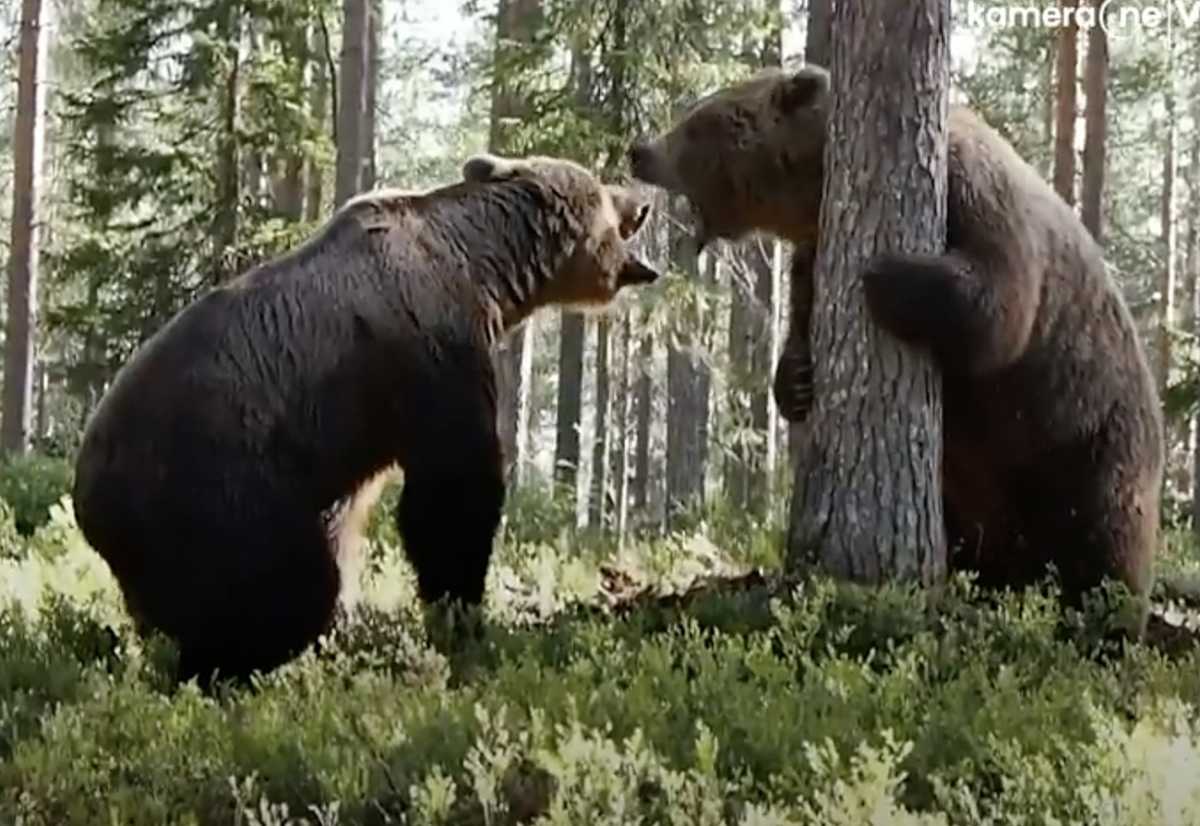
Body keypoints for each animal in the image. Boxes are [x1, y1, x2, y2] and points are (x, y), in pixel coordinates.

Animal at [73, 154, 662, 681]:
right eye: (603, 191)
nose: (642, 201)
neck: (483, 269)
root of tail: (87, 492)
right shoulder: (429, 351)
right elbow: (451, 494)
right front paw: (462, 619)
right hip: (214, 487)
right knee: (283, 586)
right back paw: (234, 666)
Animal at [633, 66, 1166, 633]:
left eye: (702, 120)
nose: (639, 150)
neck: (817, 191)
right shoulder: (815, 252)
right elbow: (804, 312)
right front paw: (795, 380)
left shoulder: (974, 196)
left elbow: (997, 304)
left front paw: (884, 275)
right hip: (977, 496)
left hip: (1088, 438)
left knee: (1102, 540)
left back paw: (1101, 621)